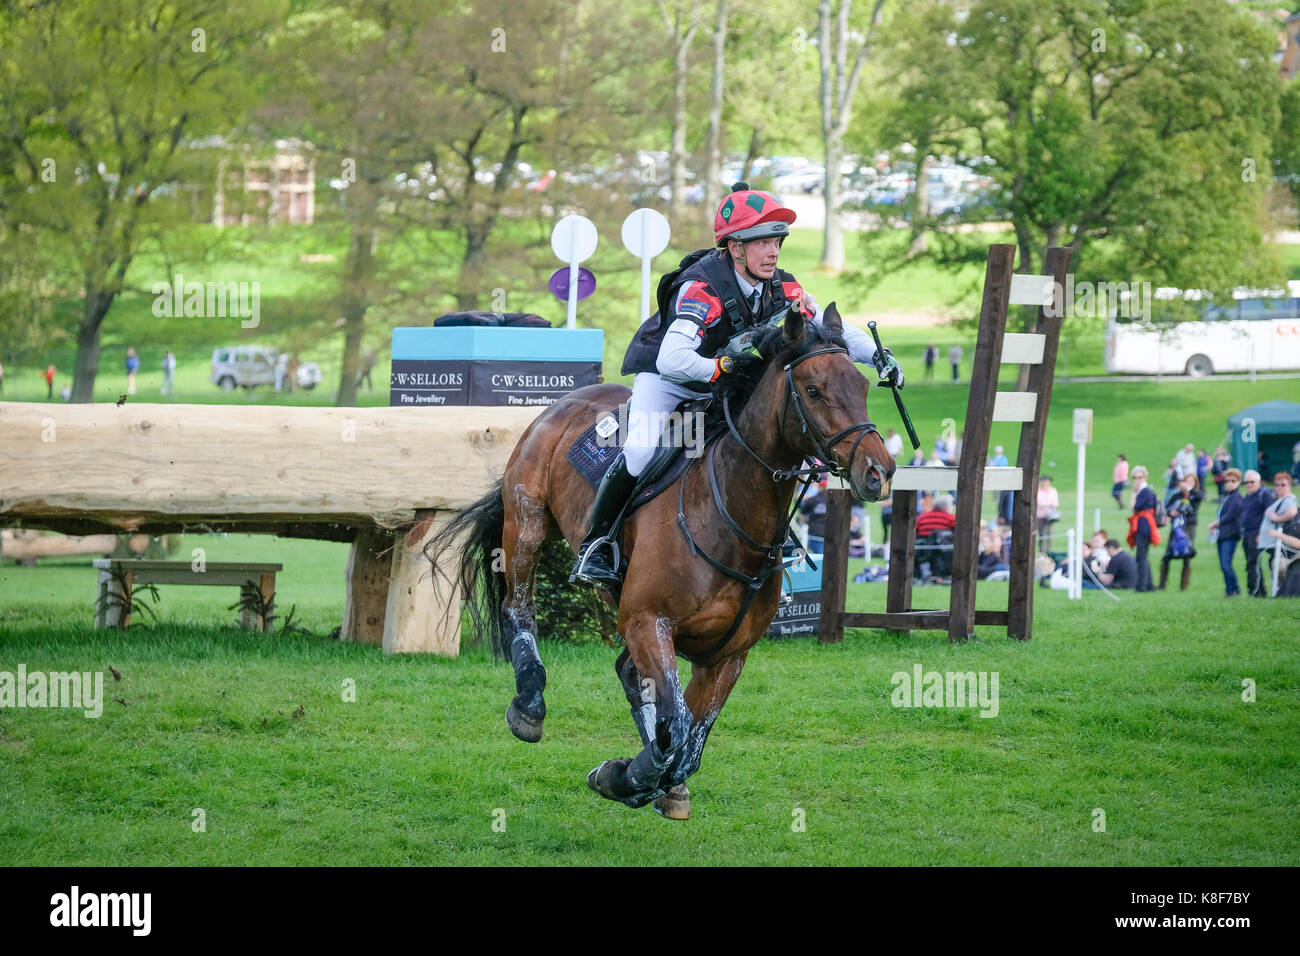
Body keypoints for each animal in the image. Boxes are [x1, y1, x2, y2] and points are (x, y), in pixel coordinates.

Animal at [426, 303, 894, 816]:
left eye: (863, 387)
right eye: (813, 390)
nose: (879, 472)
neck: (727, 513)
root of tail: (563, 403)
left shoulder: (726, 654)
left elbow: (690, 740)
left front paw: (648, 781)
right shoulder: (648, 621)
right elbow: (679, 723)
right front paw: (626, 776)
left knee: (630, 676)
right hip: (526, 524)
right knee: (520, 608)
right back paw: (529, 705)